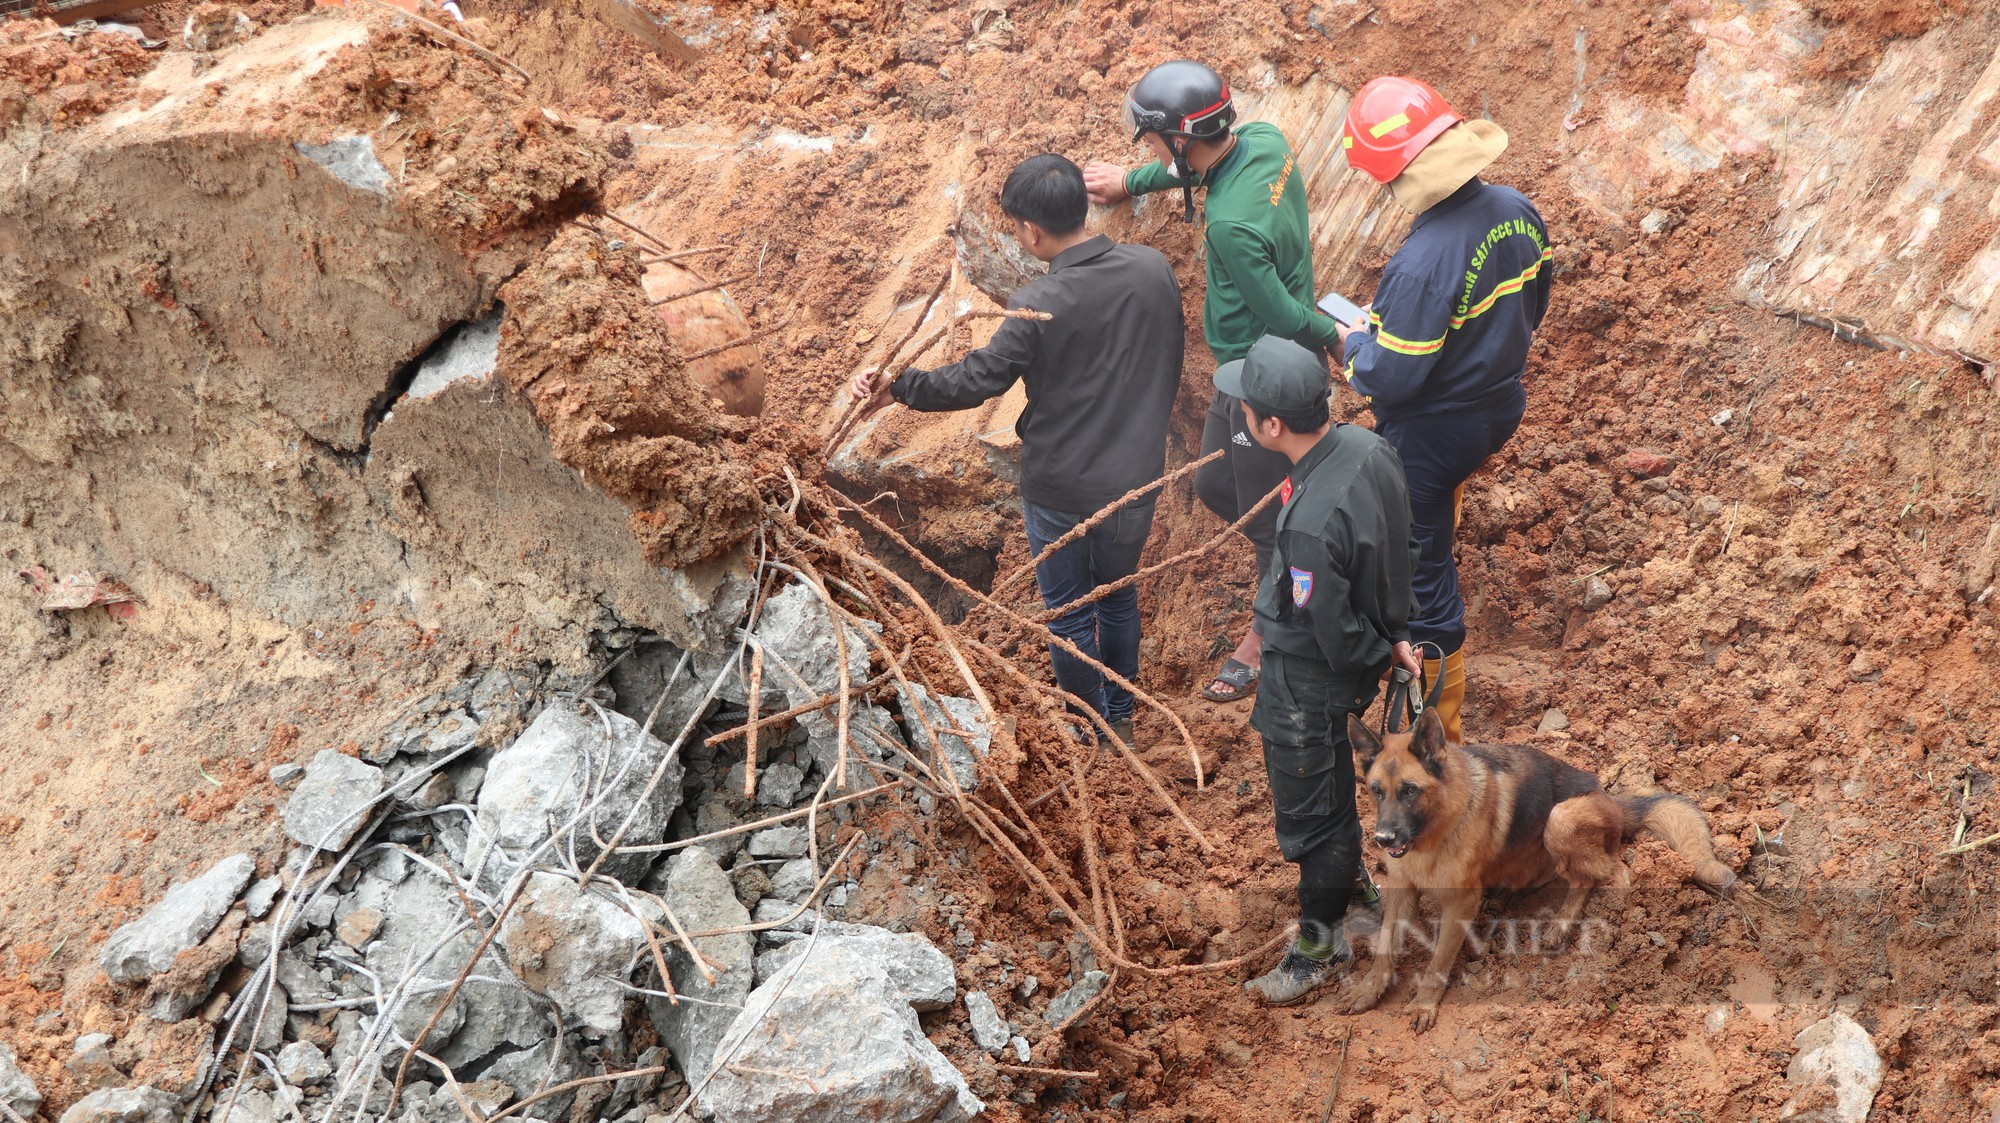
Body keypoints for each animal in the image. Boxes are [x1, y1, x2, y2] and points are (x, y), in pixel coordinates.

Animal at [1344, 703, 1736, 1031]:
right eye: (1376, 790)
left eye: (1410, 790)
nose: (1383, 839)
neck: (1436, 830)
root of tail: (1610, 799)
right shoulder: (1401, 889)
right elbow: (1385, 946)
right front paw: (1368, 989)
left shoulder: (1460, 903)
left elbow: (1438, 962)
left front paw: (1425, 1004)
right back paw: (1506, 898)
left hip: (1560, 818)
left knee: (1605, 873)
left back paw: (1564, 922)